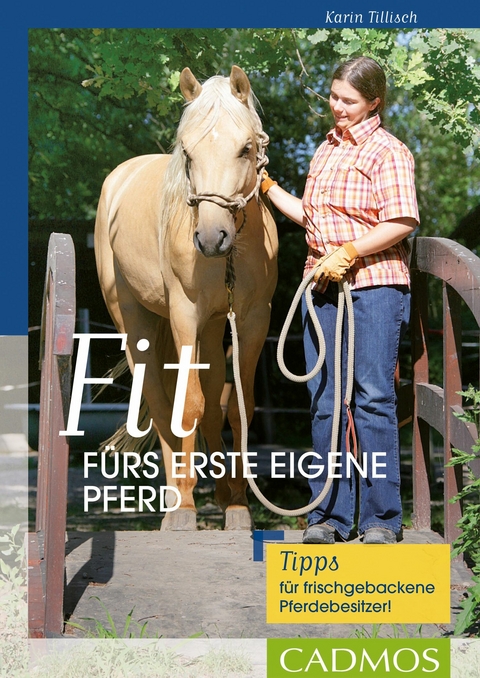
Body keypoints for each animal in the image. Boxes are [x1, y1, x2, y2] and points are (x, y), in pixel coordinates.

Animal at [94, 66, 278, 530]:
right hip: (135, 322)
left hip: (212, 330)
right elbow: (188, 406)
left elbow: (238, 408)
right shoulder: (184, 316)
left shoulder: (252, 320)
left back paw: (220, 490)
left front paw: (238, 505)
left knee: (213, 402)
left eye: (246, 148)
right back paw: (176, 498)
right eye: (188, 154)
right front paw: (187, 507)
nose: (212, 238)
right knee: (162, 404)